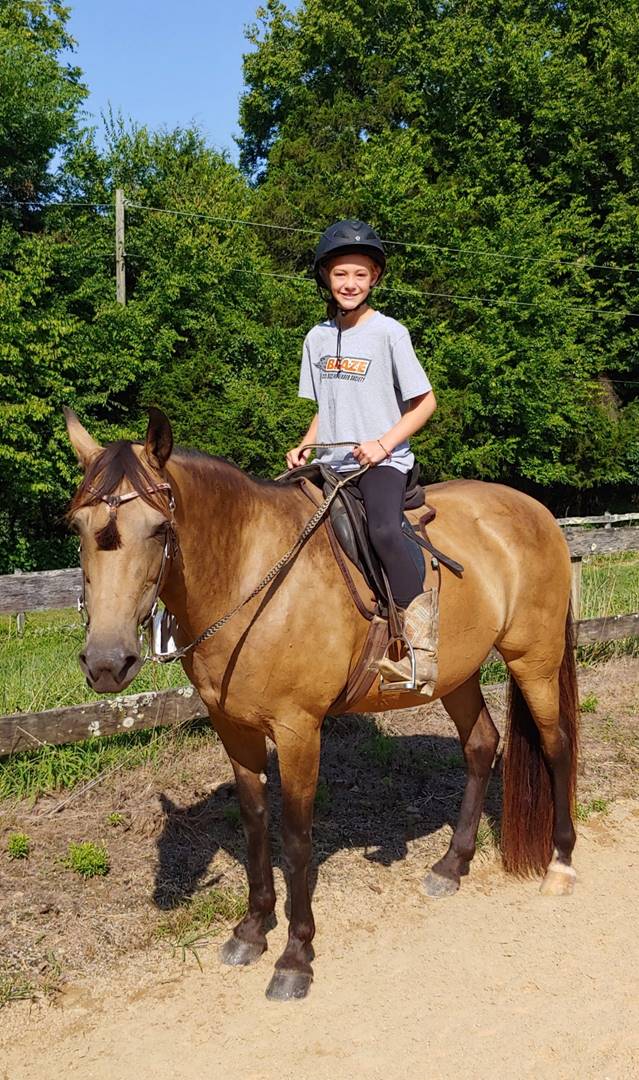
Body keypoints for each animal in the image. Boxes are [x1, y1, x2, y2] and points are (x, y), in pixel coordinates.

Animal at [63, 406, 578, 1001]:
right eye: (78, 527)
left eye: (160, 527)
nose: (106, 662)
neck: (251, 573)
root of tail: (537, 512)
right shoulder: (232, 728)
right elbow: (254, 821)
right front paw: (252, 929)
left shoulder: (298, 729)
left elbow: (296, 836)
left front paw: (295, 955)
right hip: (457, 674)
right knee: (481, 746)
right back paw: (452, 865)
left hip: (534, 658)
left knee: (556, 744)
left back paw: (561, 863)